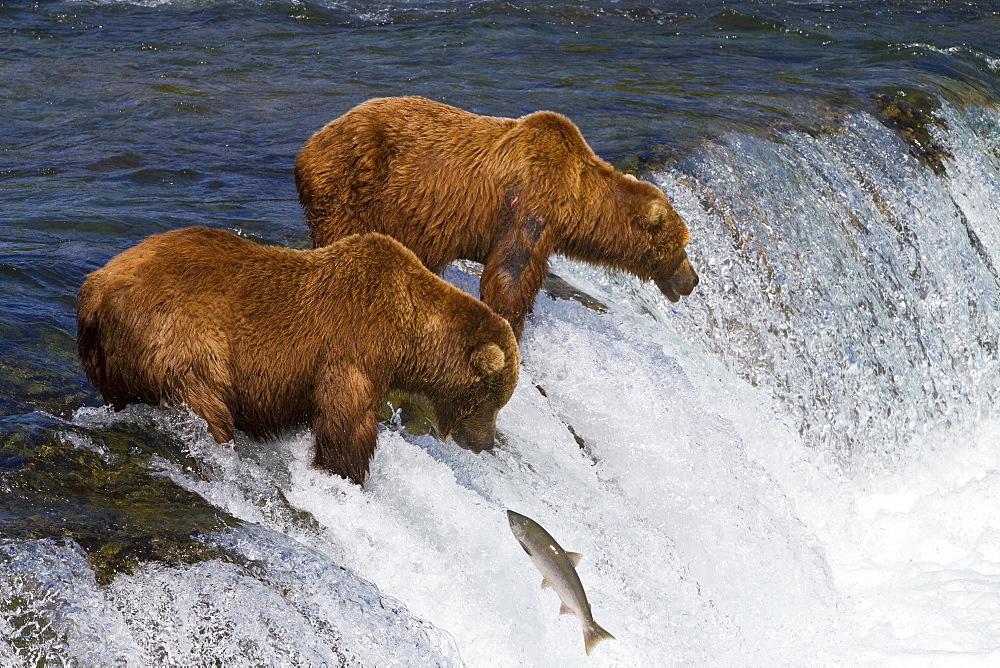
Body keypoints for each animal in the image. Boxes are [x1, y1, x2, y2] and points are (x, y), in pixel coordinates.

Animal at [78, 226, 520, 486]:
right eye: (493, 400)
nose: (483, 444)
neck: (407, 332)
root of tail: (96, 286)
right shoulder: (353, 343)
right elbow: (345, 423)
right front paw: (346, 472)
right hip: (179, 335)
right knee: (206, 402)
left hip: (106, 358)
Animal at [292, 95, 700, 340]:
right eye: (682, 244)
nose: (693, 279)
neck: (575, 201)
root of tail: (308, 144)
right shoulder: (531, 200)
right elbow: (509, 275)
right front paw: (511, 326)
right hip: (351, 185)